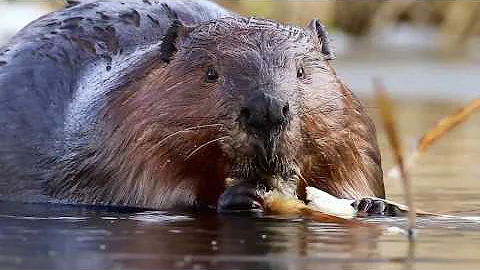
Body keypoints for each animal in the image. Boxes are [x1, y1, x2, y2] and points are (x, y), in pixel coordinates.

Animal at [0, 0, 398, 215]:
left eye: (302, 71)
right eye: (210, 72)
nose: (267, 109)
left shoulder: (352, 129)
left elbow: (356, 171)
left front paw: (375, 205)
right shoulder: (123, 138)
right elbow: (151, 191)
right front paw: (239, 195)